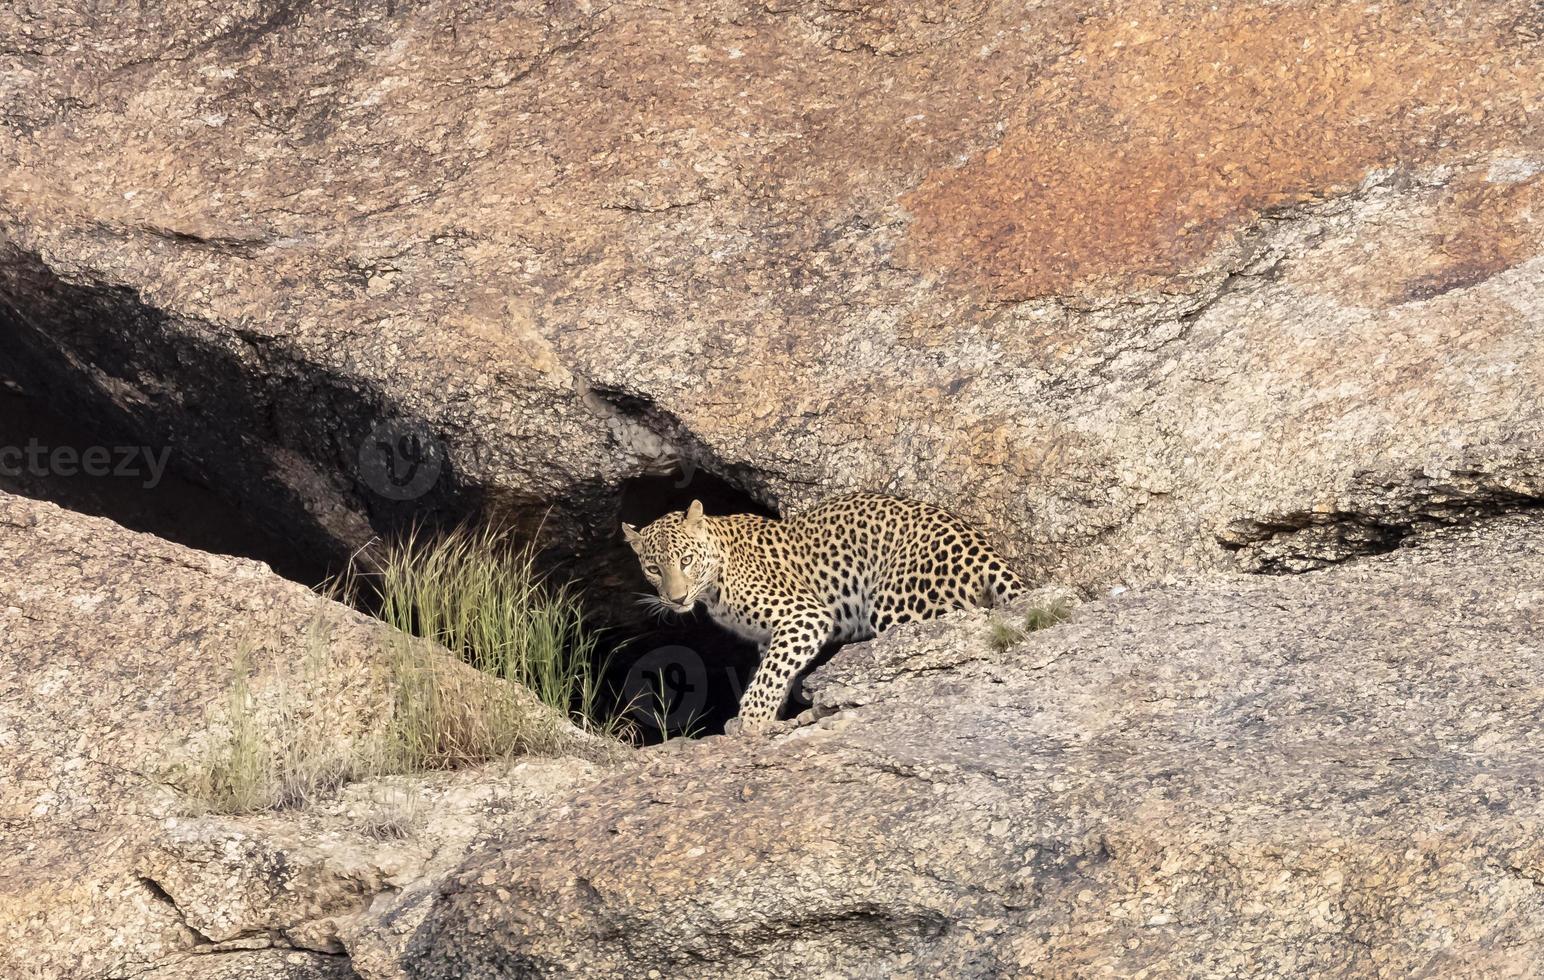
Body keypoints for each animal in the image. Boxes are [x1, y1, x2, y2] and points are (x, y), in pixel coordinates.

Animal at [620, 493, 1031, 731]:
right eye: (653, 568)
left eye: (686, 560)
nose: (676, 599)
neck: (713, 584)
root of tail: (980, 546)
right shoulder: (770, 635)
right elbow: (775, 671)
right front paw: (769, 717)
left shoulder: (804, 615)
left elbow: (769, 675)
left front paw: (751, 721)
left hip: (895, 606)